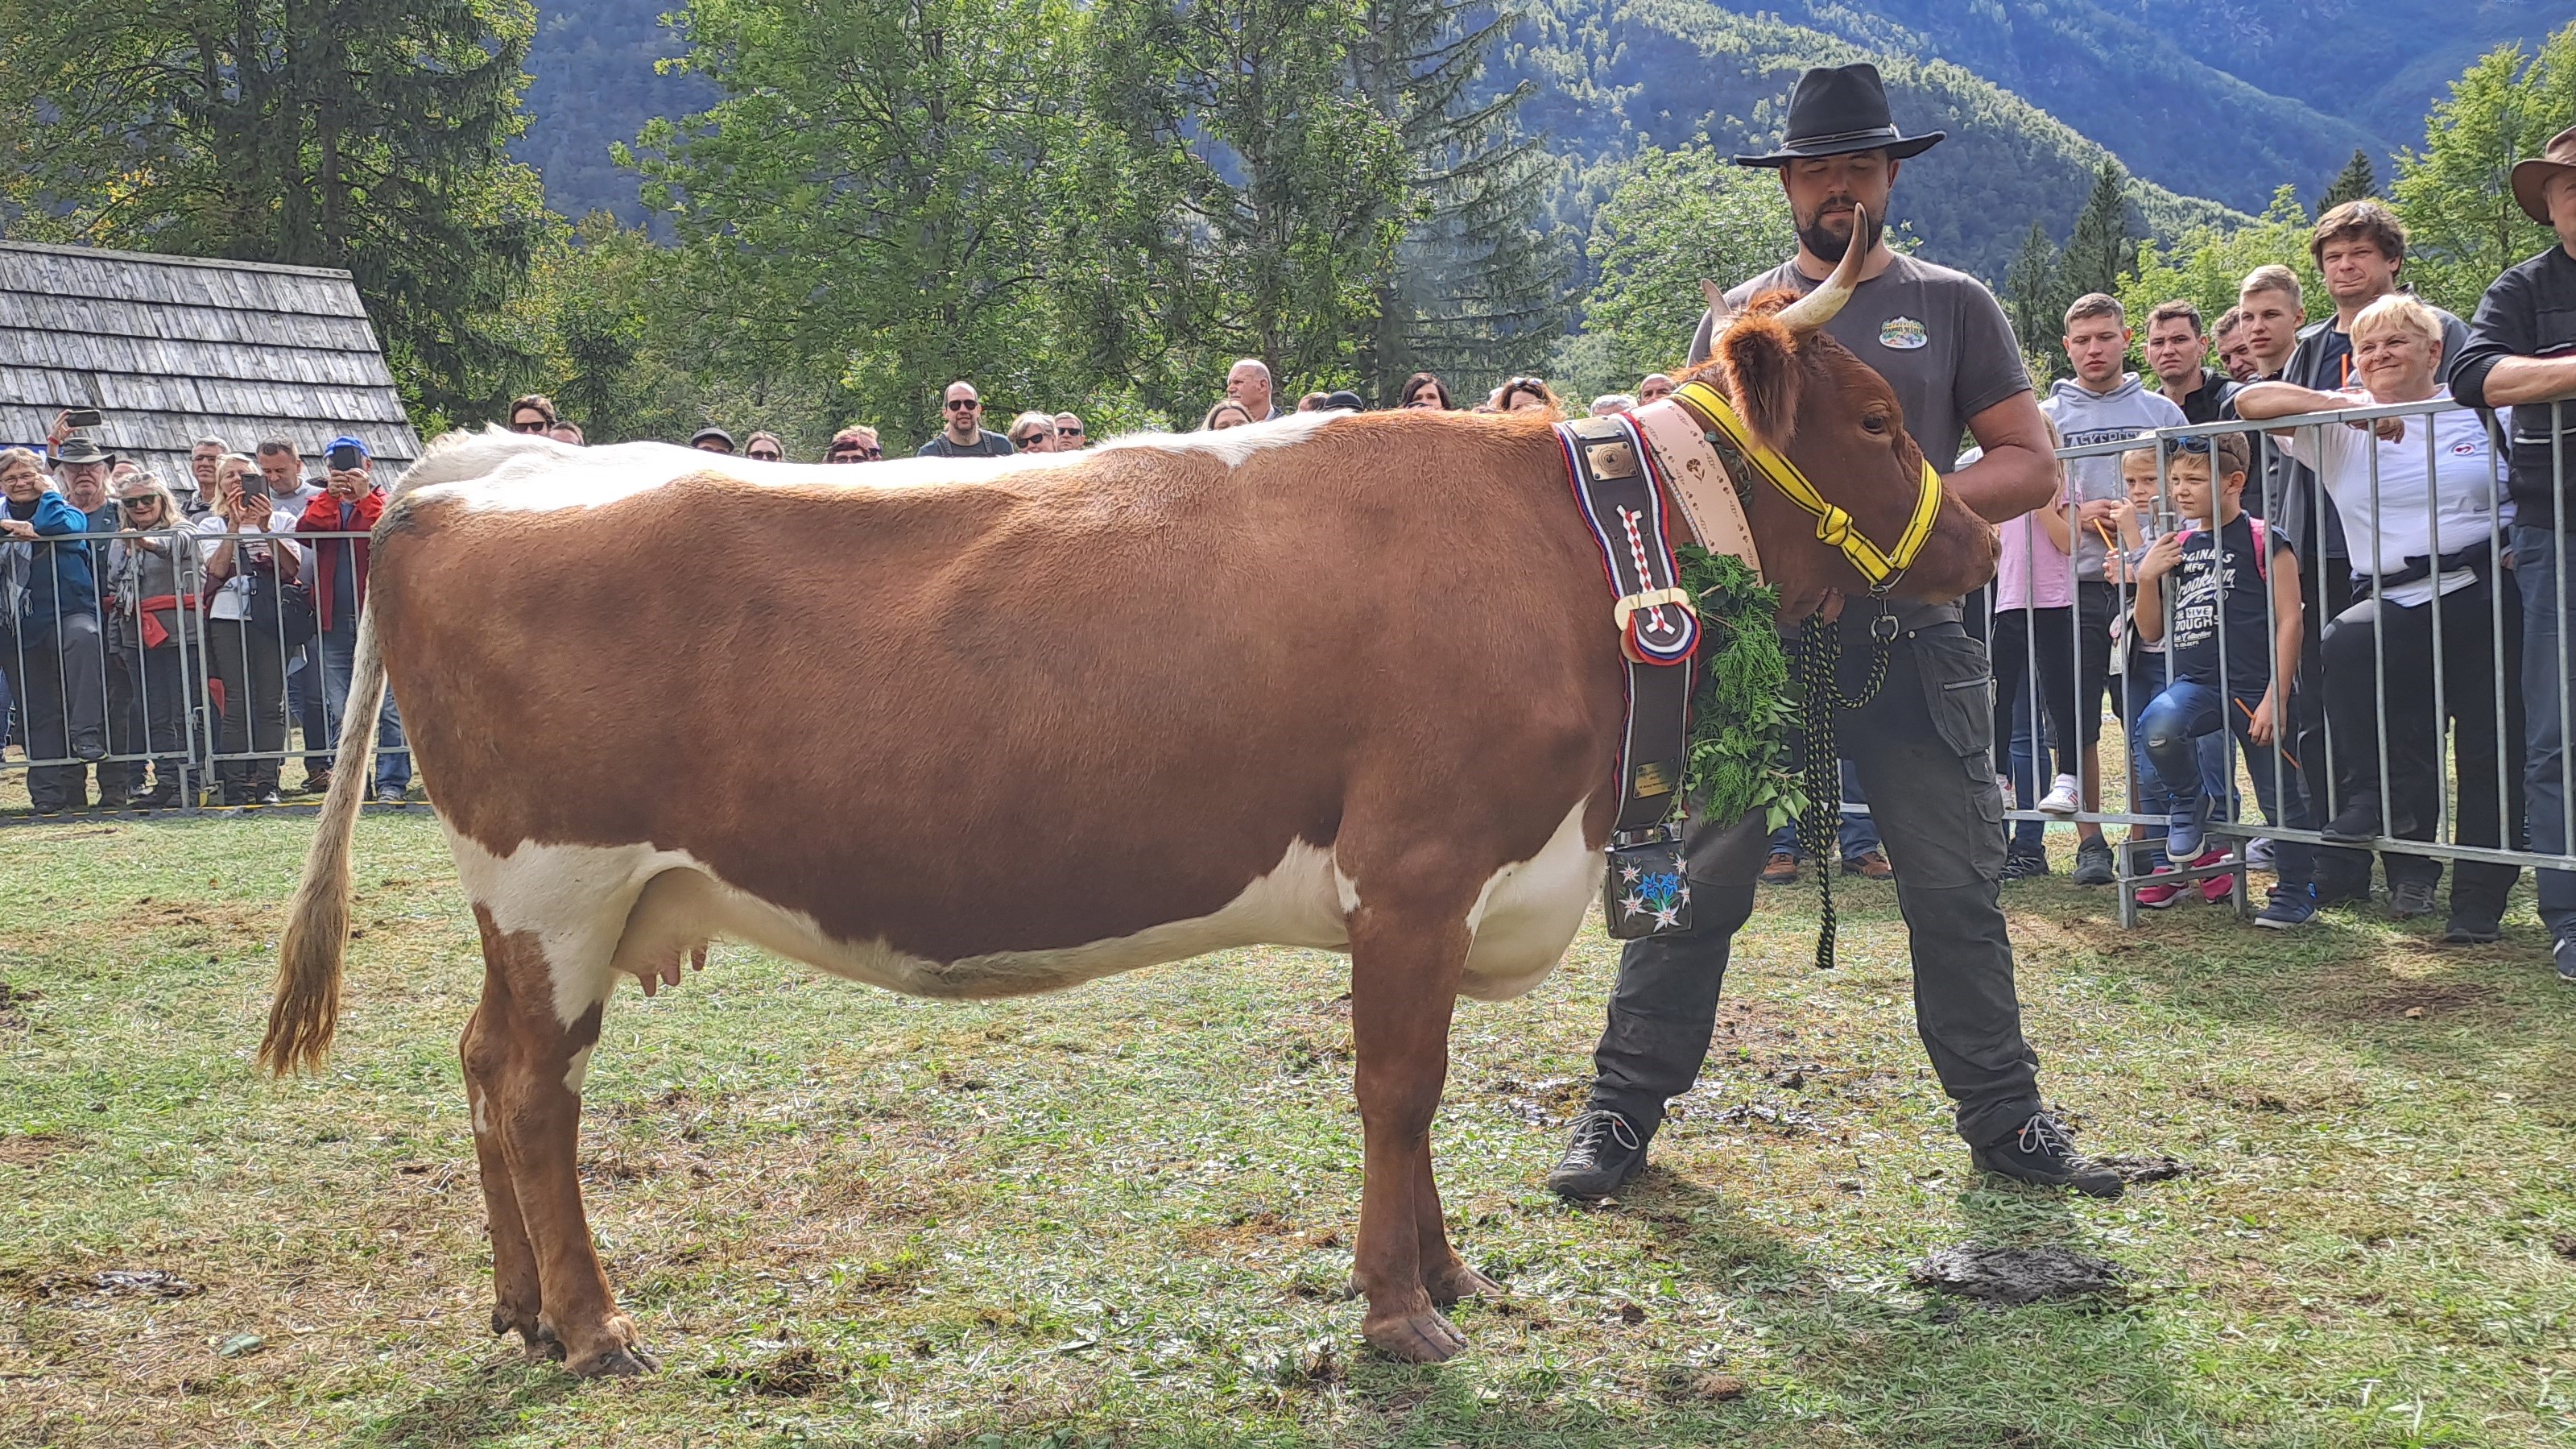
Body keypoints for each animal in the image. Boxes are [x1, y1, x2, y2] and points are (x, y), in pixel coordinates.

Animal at [261, 256, 1988, 1361]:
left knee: (482, 1063)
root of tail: (466, 470)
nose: (1983, 541)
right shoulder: (1417, 870)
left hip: (544, 904)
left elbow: (1415, 1104)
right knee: (532, 1089)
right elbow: (1398, 1092)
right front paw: (1399, 1307)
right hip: (555, 879)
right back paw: (594, 1320)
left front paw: (1444, 1266)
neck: (1584, 542)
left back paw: (518, 1302)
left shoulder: (1437, 894)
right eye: (1878, 421)